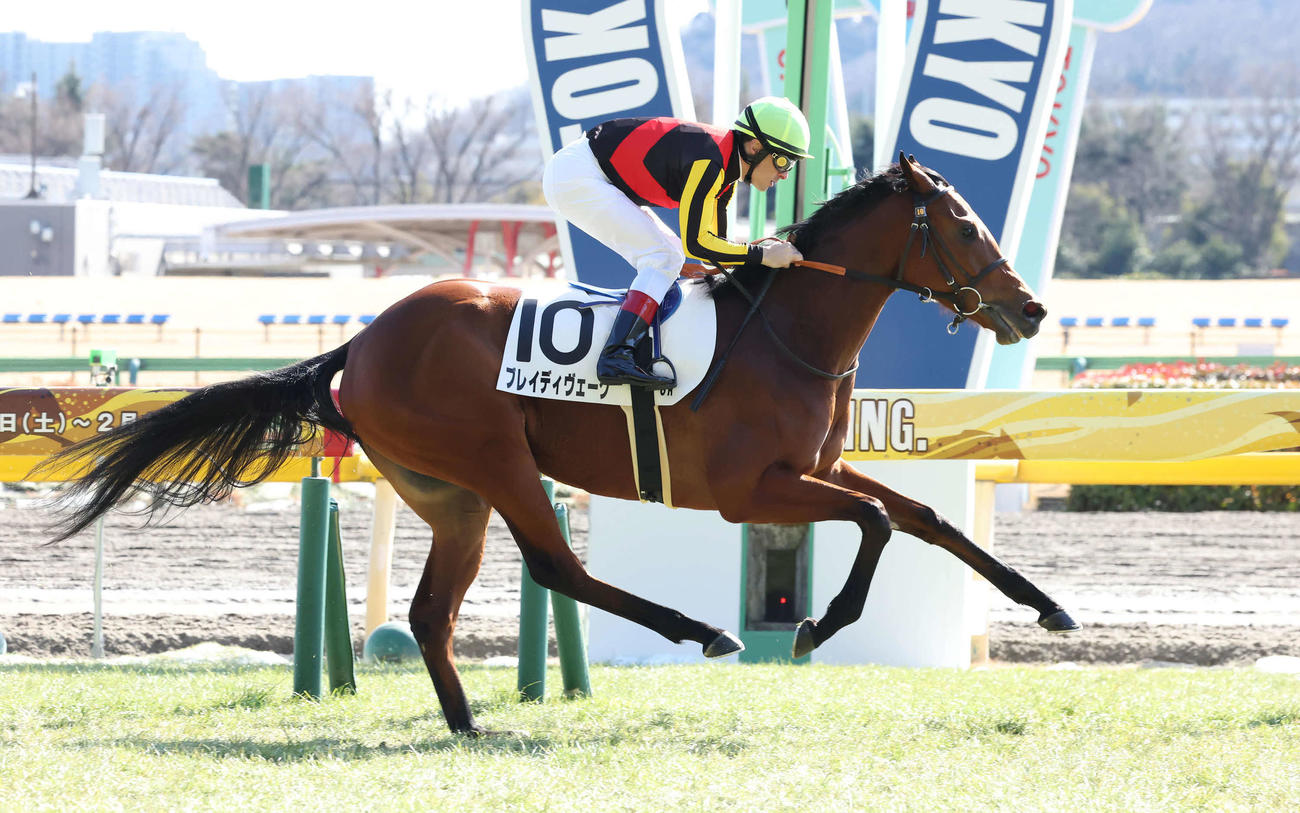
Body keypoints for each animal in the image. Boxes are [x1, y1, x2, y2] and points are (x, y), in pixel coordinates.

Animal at [41, 154, 1078, 736]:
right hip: (497, 461)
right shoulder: (750, 489)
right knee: (556, 566)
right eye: (963, 226)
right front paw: (819, 624)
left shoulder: (813, 467)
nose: (1030, 308)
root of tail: (363, 341)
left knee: (433, 611)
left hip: (449, 494)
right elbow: (873, 522)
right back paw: (701, 631)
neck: (787, 330)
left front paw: (1048, 606)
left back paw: (468, 722)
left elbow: (927, 515)